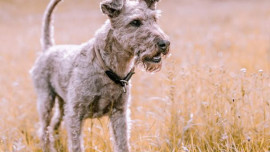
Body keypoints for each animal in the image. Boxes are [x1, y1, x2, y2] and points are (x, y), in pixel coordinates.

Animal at [30, 0, 170, 151]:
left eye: (155, 19)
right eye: (135, 22)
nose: (165, 43)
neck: (106, 67)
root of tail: (48, 48)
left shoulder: (120, 113)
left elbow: (122, 144)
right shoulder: (75, 114)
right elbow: (76, 145)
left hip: (62, 105)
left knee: (54, 125)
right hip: (46, 101)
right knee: (44, 131)